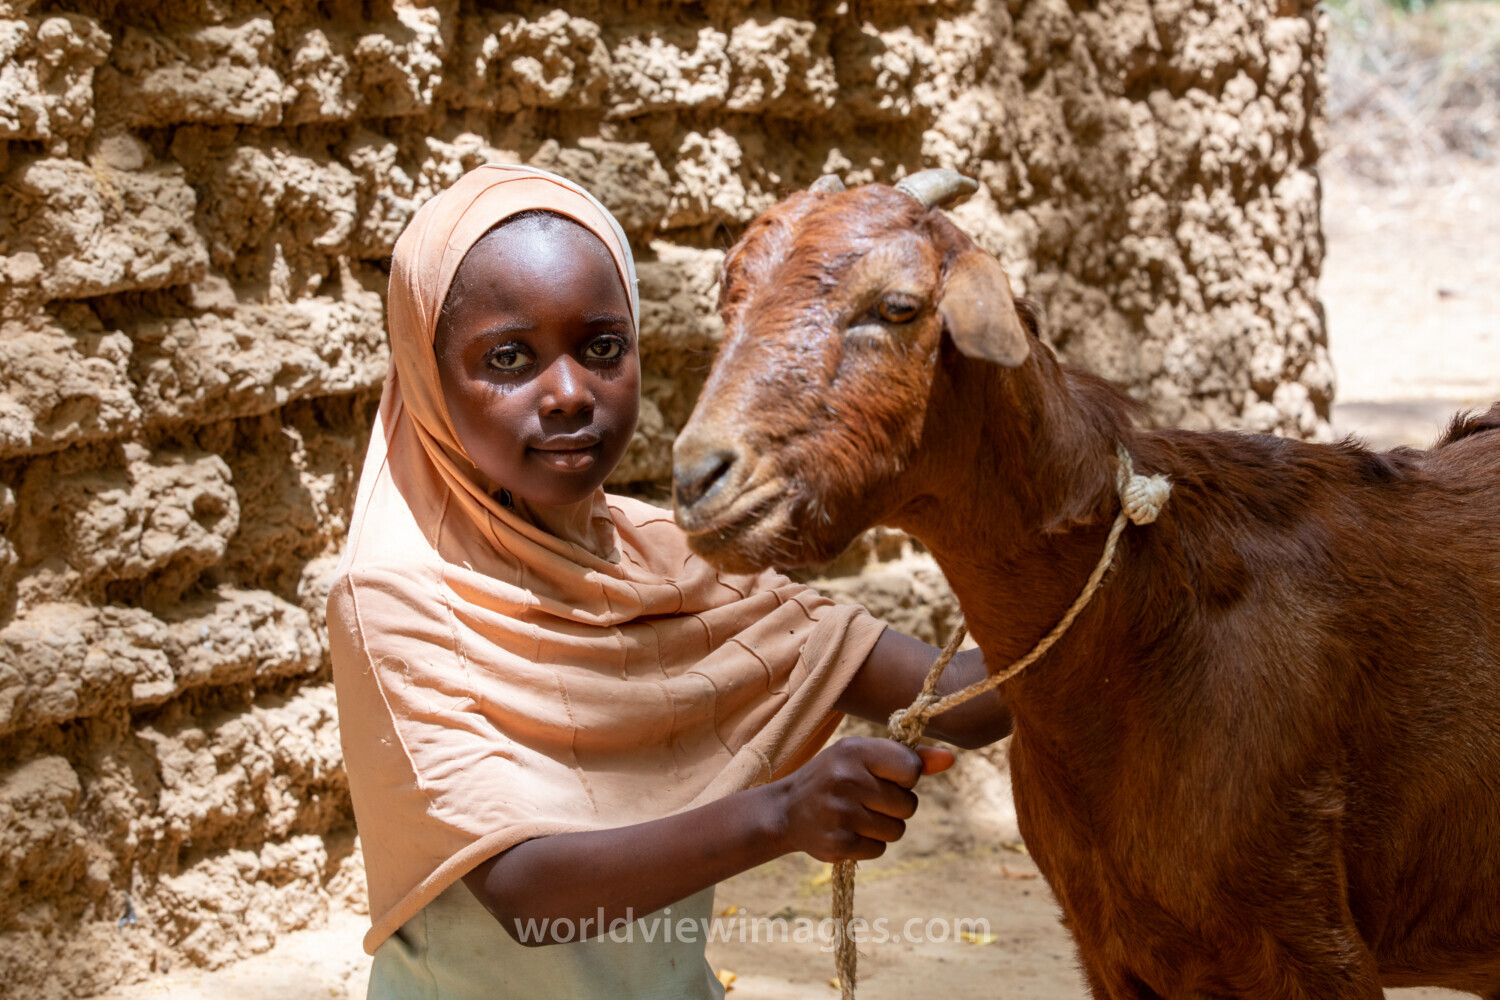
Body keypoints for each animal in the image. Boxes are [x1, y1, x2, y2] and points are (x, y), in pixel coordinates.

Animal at [672, 169, 1500, 999]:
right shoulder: (1111, 947)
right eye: (729, 299)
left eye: (896, 307)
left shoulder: (1312, 944)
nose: (696, 479)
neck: (1148, 624)